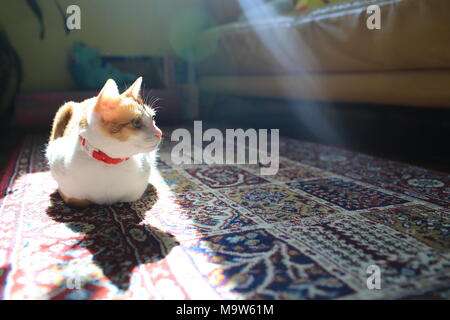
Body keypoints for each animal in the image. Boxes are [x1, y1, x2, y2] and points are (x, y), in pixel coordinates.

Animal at [45, 78, 162, 208]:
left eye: (153, 118)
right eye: (136, 122)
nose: (160, 133)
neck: (108, 163)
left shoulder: (135, 193)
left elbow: (128, 199)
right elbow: (78, 201)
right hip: (64, 109)